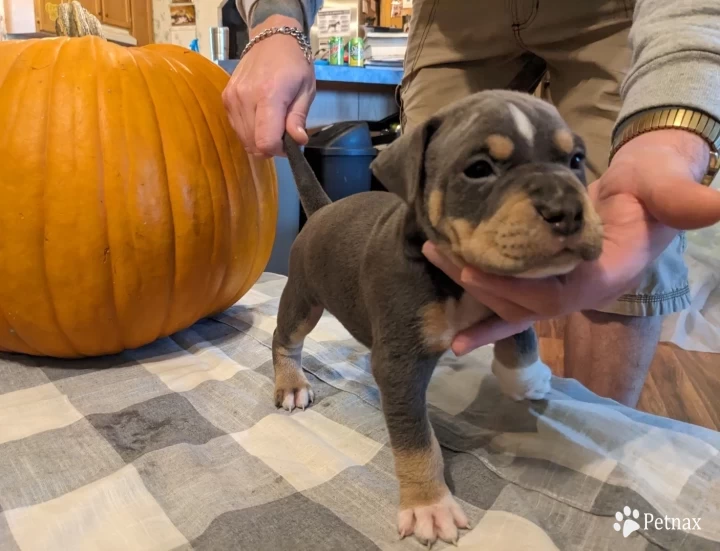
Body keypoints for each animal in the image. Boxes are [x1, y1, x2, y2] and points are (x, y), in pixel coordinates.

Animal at [278, 89, 604, 544]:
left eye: (575, 159)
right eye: (479, 169)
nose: (567, 209)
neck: (454, 274)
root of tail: (324, 209)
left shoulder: (505, 292)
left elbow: (521, 333)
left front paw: (525, 378)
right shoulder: (401, 364)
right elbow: (415, 439)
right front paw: (428, 504)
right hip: (302, 298)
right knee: (285, 338)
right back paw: (291, 384)